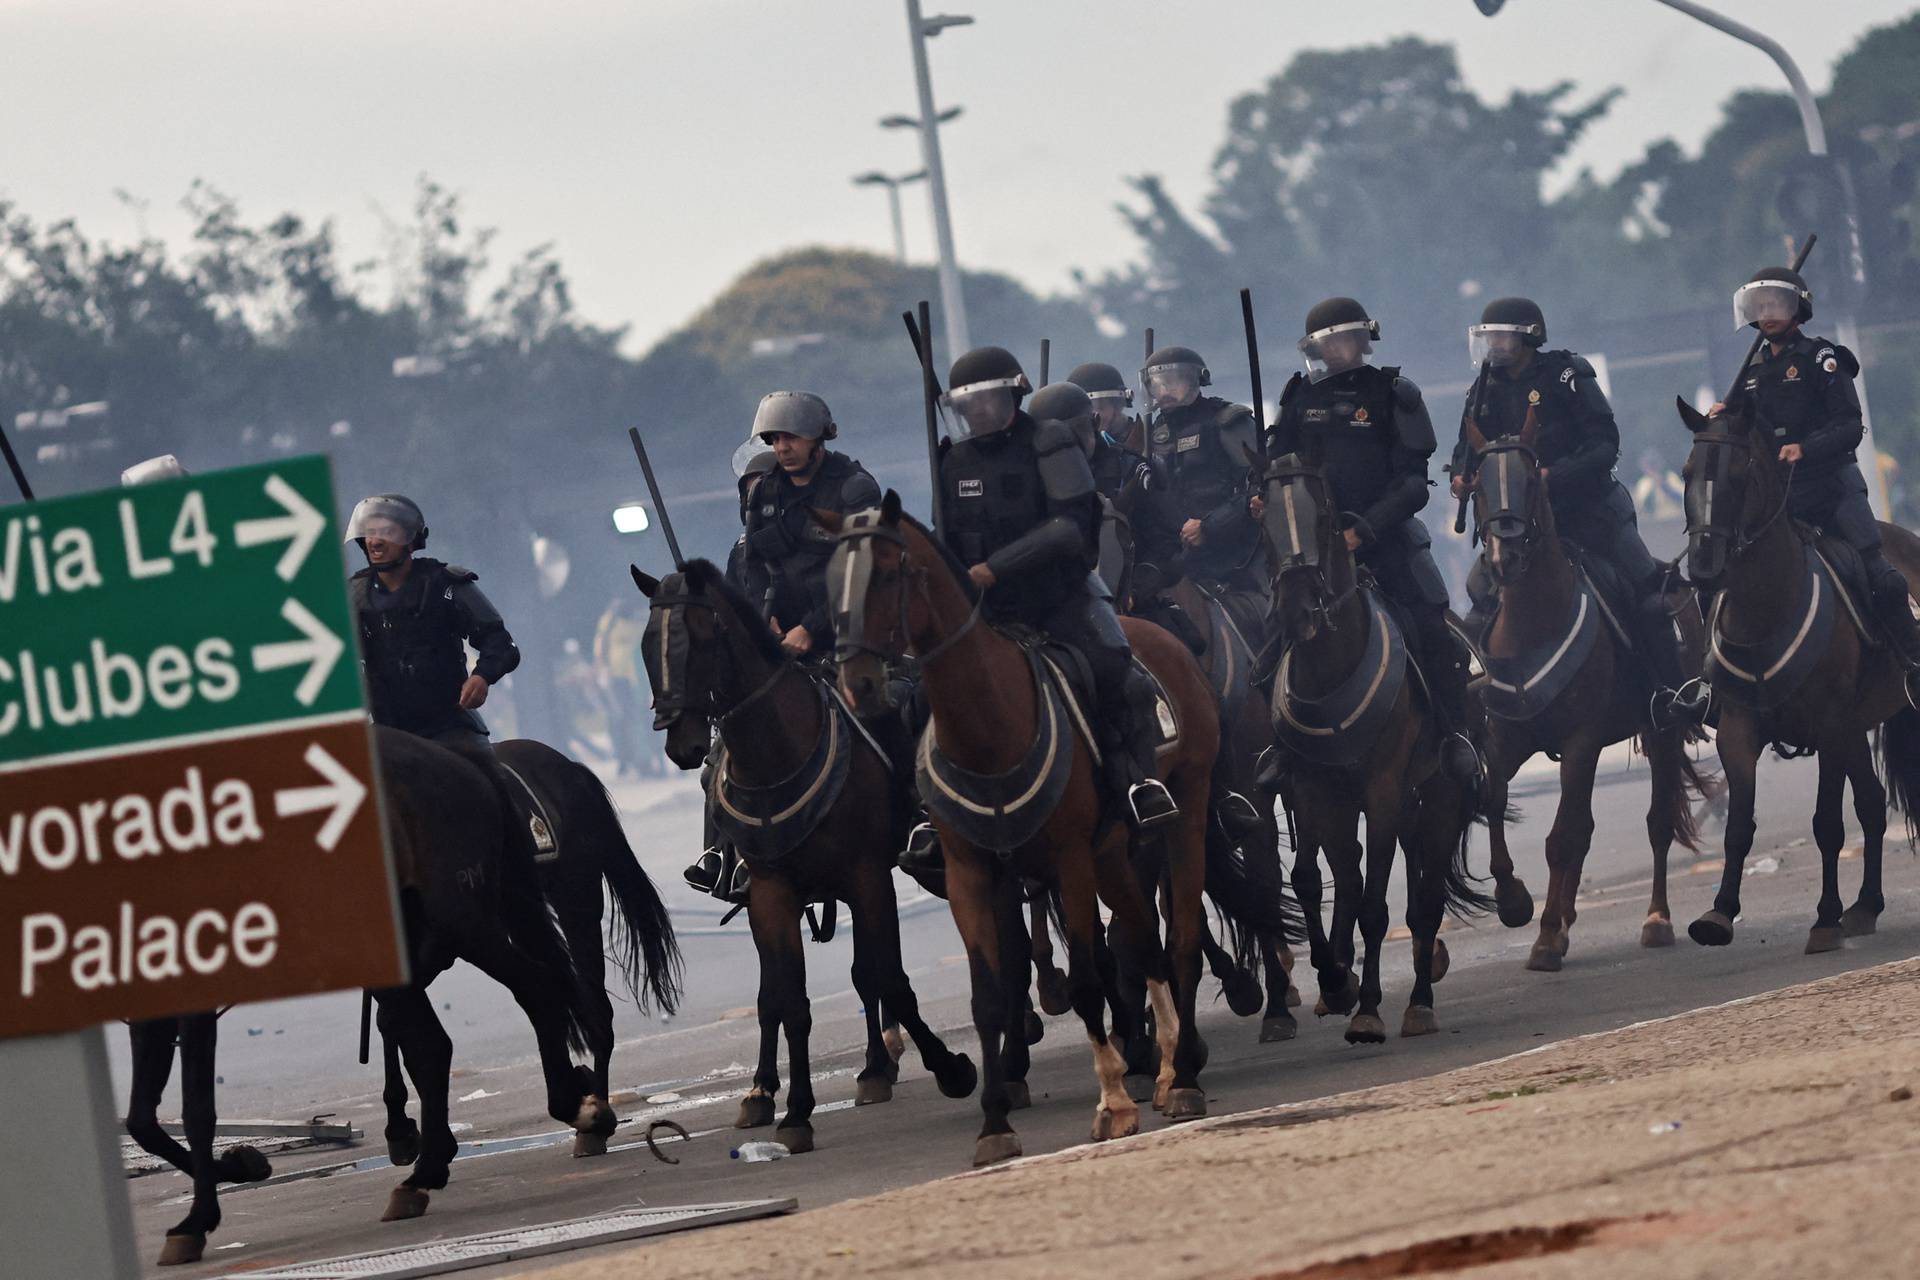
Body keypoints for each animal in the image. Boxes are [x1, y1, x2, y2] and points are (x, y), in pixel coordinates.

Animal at [633, 556, 975, 1159]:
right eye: (650, 644)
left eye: (699, 638)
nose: (682, 744)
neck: (778, 750)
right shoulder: (771, 892)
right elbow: (785, 998)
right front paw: (792, 1110)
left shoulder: (867, 878)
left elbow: (884, 976)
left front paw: (949, 1068)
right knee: (786, 990)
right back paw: (778, 1089)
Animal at [829, 495, 1221, 1174]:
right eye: (835, 579)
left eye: (886, 572)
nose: (859, 681)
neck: (989, 722)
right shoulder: (972, 873)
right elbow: (990, 996)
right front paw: (993, 1124)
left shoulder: (1069, 862)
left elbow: (1088, 980)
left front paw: (1114, 1103)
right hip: (1113, 853)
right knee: (1143, 939)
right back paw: (1170, 1066)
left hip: (1182, 815)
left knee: (1178, 943)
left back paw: (1184, 1078)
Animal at [1251, 450, 1489, 1043]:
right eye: (1264, 526)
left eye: (1324, 518)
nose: (1297, 612)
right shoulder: (1313, 790)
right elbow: (1315, 880)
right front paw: (1336, 981)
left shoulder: (1383, 792)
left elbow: (1376, 905)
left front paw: (1367, 1009)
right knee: (1353, 876)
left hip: (1439, 794)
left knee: (1425, 902)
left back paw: (1419, 1002)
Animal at [1459, 410, 1720, 971]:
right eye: (1479, 486)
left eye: (1531, 481)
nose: (1504, 556)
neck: (1534, 622)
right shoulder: (1506, 740)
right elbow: (1495, 802)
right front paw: (1514, 901)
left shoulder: (1580, 741)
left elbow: (1562, 839)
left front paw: (1544, 935)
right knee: (1584, 827)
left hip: (1660, 729)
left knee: (1654, 823)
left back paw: (1654, 919)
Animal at [1666, 401, 1920, 951]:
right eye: (1687, 473)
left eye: (1739, 476)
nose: (1703, 565)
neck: (1766, 607)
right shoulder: (1739, 731)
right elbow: (1739, 826)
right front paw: (1719, 913)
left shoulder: (1828, 726)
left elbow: (1826, 823)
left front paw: (1824, 918)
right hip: (1855, 729)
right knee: (1872, 804)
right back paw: (1866, 905)